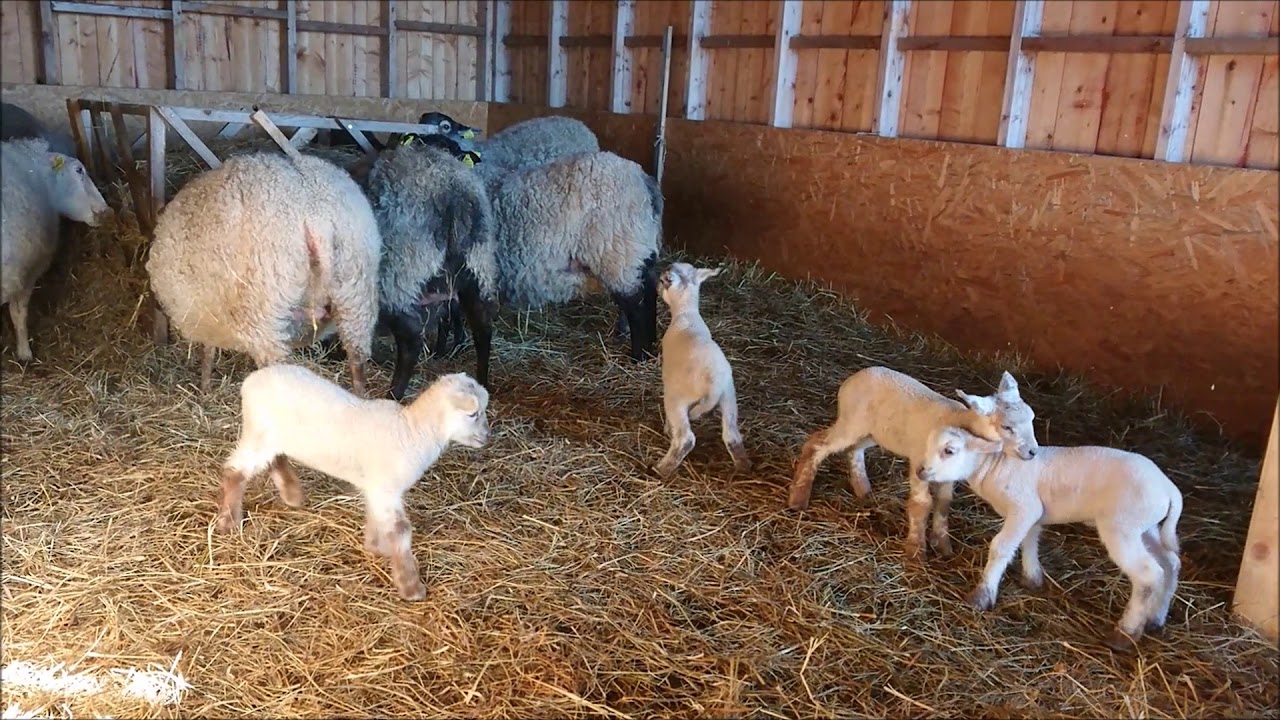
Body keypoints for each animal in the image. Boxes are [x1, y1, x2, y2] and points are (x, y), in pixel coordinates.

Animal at [217, 361, 486, 597]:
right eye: (473, 414)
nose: (488, 436)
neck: (413, 430)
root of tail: (251, 381)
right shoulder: (385, 488)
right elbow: (400, 530)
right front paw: (411, 588)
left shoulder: (378, 489)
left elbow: (376, 519)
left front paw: (376, 548)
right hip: (260, 434)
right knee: (235, 471)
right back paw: (229, 521)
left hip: (273, 437)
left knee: (275, 459)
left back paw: (291, 494)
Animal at [650, 262, 747, 476]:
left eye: (662, 280)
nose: (656, 288)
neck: (686, 314)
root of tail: (713, 384)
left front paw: (667, 429)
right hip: (729, 397)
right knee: (732, 435)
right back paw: (743, 466)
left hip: (677, 399)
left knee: (685, 438)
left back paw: (661, 469)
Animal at [788, 363, 1039, 561]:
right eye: (1007, 427)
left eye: (1032, 418)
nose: (1033, 452)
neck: (962, 422)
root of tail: (854, 378)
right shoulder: (920, 463)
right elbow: (922, 504)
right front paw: (916, 551)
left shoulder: (948, 473)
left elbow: (944, 504)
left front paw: (942, 545)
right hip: (852, 421)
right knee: (816, 444)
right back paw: (799, 496)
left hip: (874, 431)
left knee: (855, 449)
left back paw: (862, 488)